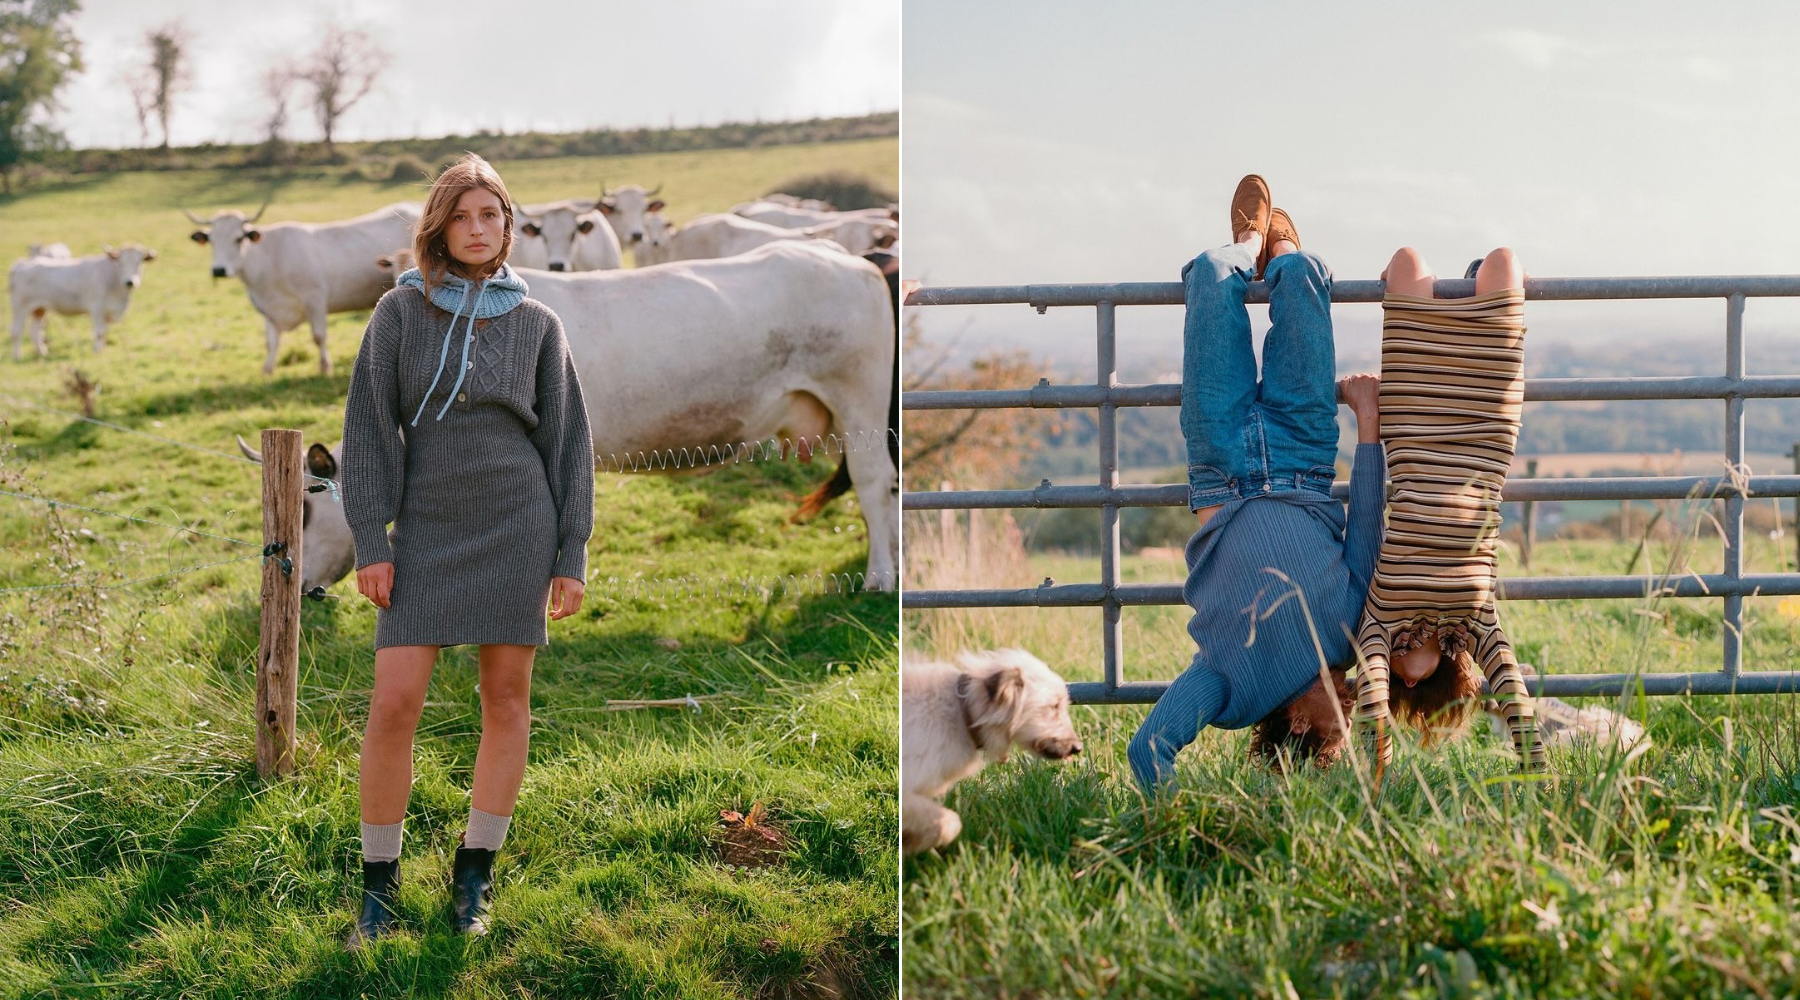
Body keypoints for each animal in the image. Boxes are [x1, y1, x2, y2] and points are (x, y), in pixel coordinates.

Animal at [9, 244, 158, 361]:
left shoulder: (107, 311)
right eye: (120, 263)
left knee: (35, 331)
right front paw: (97, 352)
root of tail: (20, 264)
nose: (130, 281)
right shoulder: (96, 307)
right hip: (19, 305)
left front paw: (101, 350)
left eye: (139, 263)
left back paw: (43, 353)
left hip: (39, 308)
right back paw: (17, 357)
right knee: (16, 330)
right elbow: (99, 332)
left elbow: (105, 332)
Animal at [186, 201, 421, 377]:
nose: (219, 270)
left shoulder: (315, 299)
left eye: (238, 239)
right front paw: (267, 370)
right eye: (211, 240)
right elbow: (270, 342)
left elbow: (318, 336)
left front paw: (325, 367)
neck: (270, 257)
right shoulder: (267, 308)